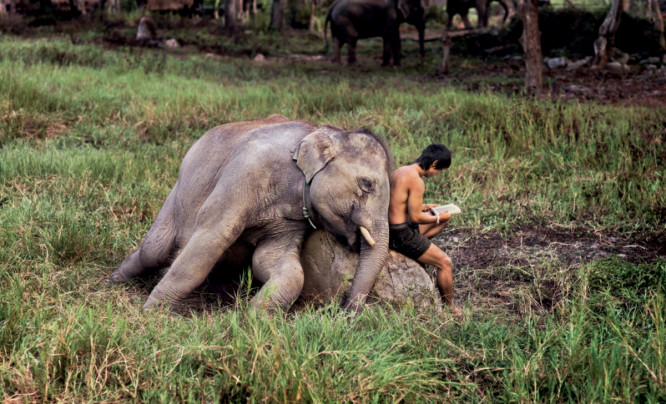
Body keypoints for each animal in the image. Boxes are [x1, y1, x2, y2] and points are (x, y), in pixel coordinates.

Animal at [112, 115, 394, 314]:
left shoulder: (292, 220)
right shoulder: (246, 171)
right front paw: (154, 314)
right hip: (177, 194)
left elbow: (277, 263)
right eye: (367, 184)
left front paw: (253, 317)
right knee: (155, 250)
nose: (344, 312)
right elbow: (212, 237)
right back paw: (115, 279)